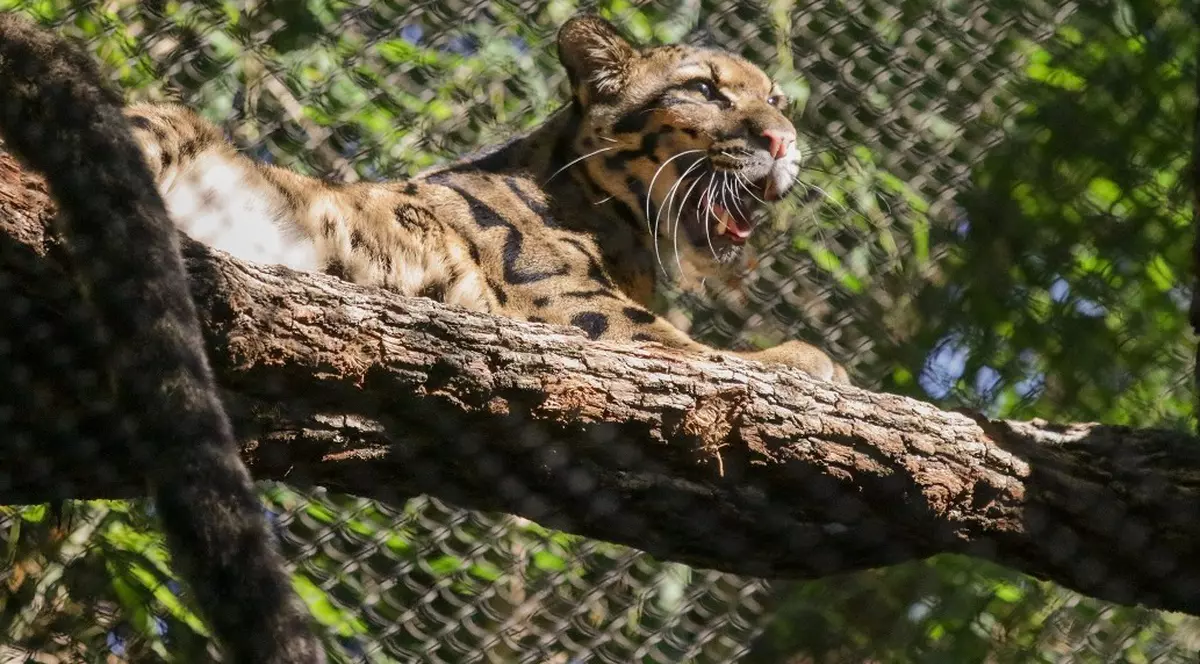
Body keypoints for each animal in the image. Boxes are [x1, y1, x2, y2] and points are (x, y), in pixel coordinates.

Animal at [126, 14, 850, 384]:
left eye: (778, 100)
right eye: (703, 89)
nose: (784, 139)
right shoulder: (583, 312)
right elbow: (697, 350)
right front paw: (810, 360)